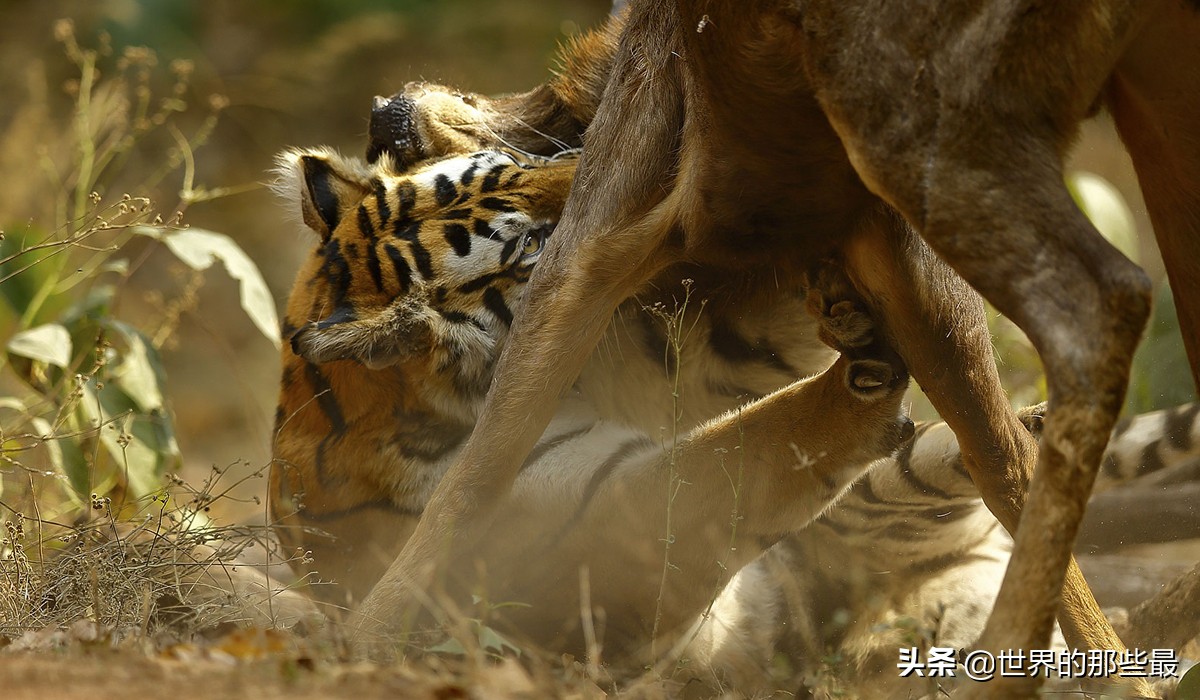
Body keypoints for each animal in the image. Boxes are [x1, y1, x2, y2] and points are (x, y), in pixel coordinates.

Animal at [269, 145, 1198, 696]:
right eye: (533, 244)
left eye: (525, 159)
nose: (655, 203)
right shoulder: (597, 519)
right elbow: (743, 447)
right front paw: (857, 363)